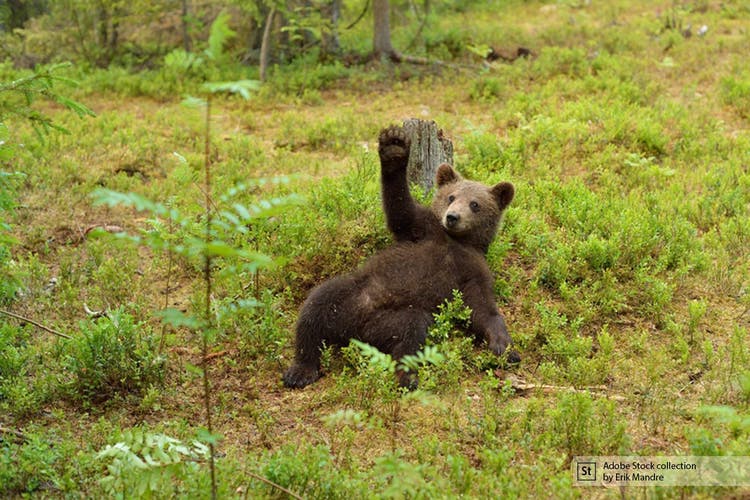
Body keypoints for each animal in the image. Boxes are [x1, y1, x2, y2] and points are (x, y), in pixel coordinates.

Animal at [282, 125, 518, 389]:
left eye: (475, 204)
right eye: (451, 197)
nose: (452, 217)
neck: (456, 241)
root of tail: (351, 331)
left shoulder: (473, 271)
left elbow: (482, 309)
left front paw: (505, 347)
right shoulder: (422, 229)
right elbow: (401, 209)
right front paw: (394, 148)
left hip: (389, 320)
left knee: (410, 332)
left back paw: (406, 375)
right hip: (348, 292)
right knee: (314, 308)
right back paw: (300, 370)